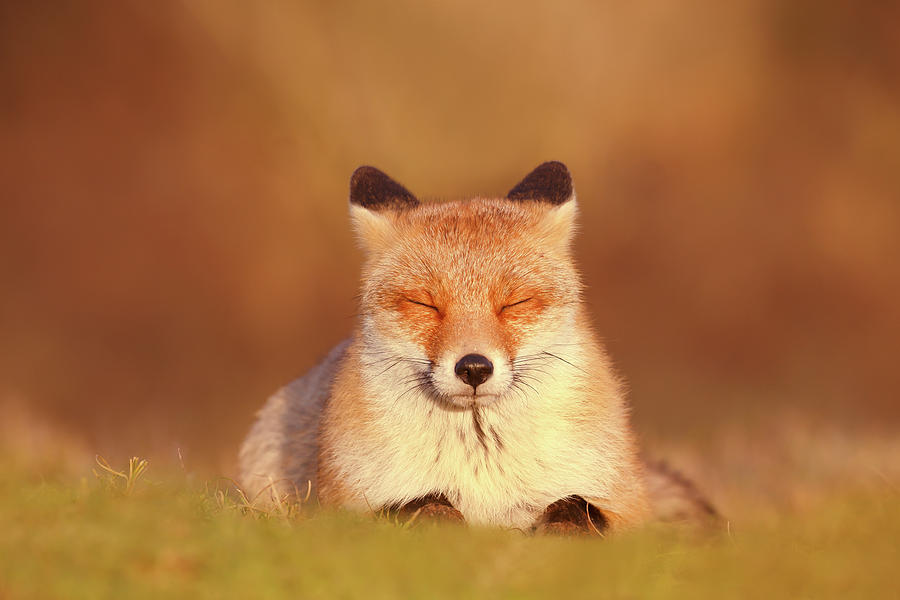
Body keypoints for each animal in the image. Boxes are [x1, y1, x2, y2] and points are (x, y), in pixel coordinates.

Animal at [239, 162, 716, 532]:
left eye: (514, 303)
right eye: (425, 304)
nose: (473, 368)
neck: (481, 460)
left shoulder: (623, 506)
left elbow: (577, 509)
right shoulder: (344, 509)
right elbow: (425, 506)